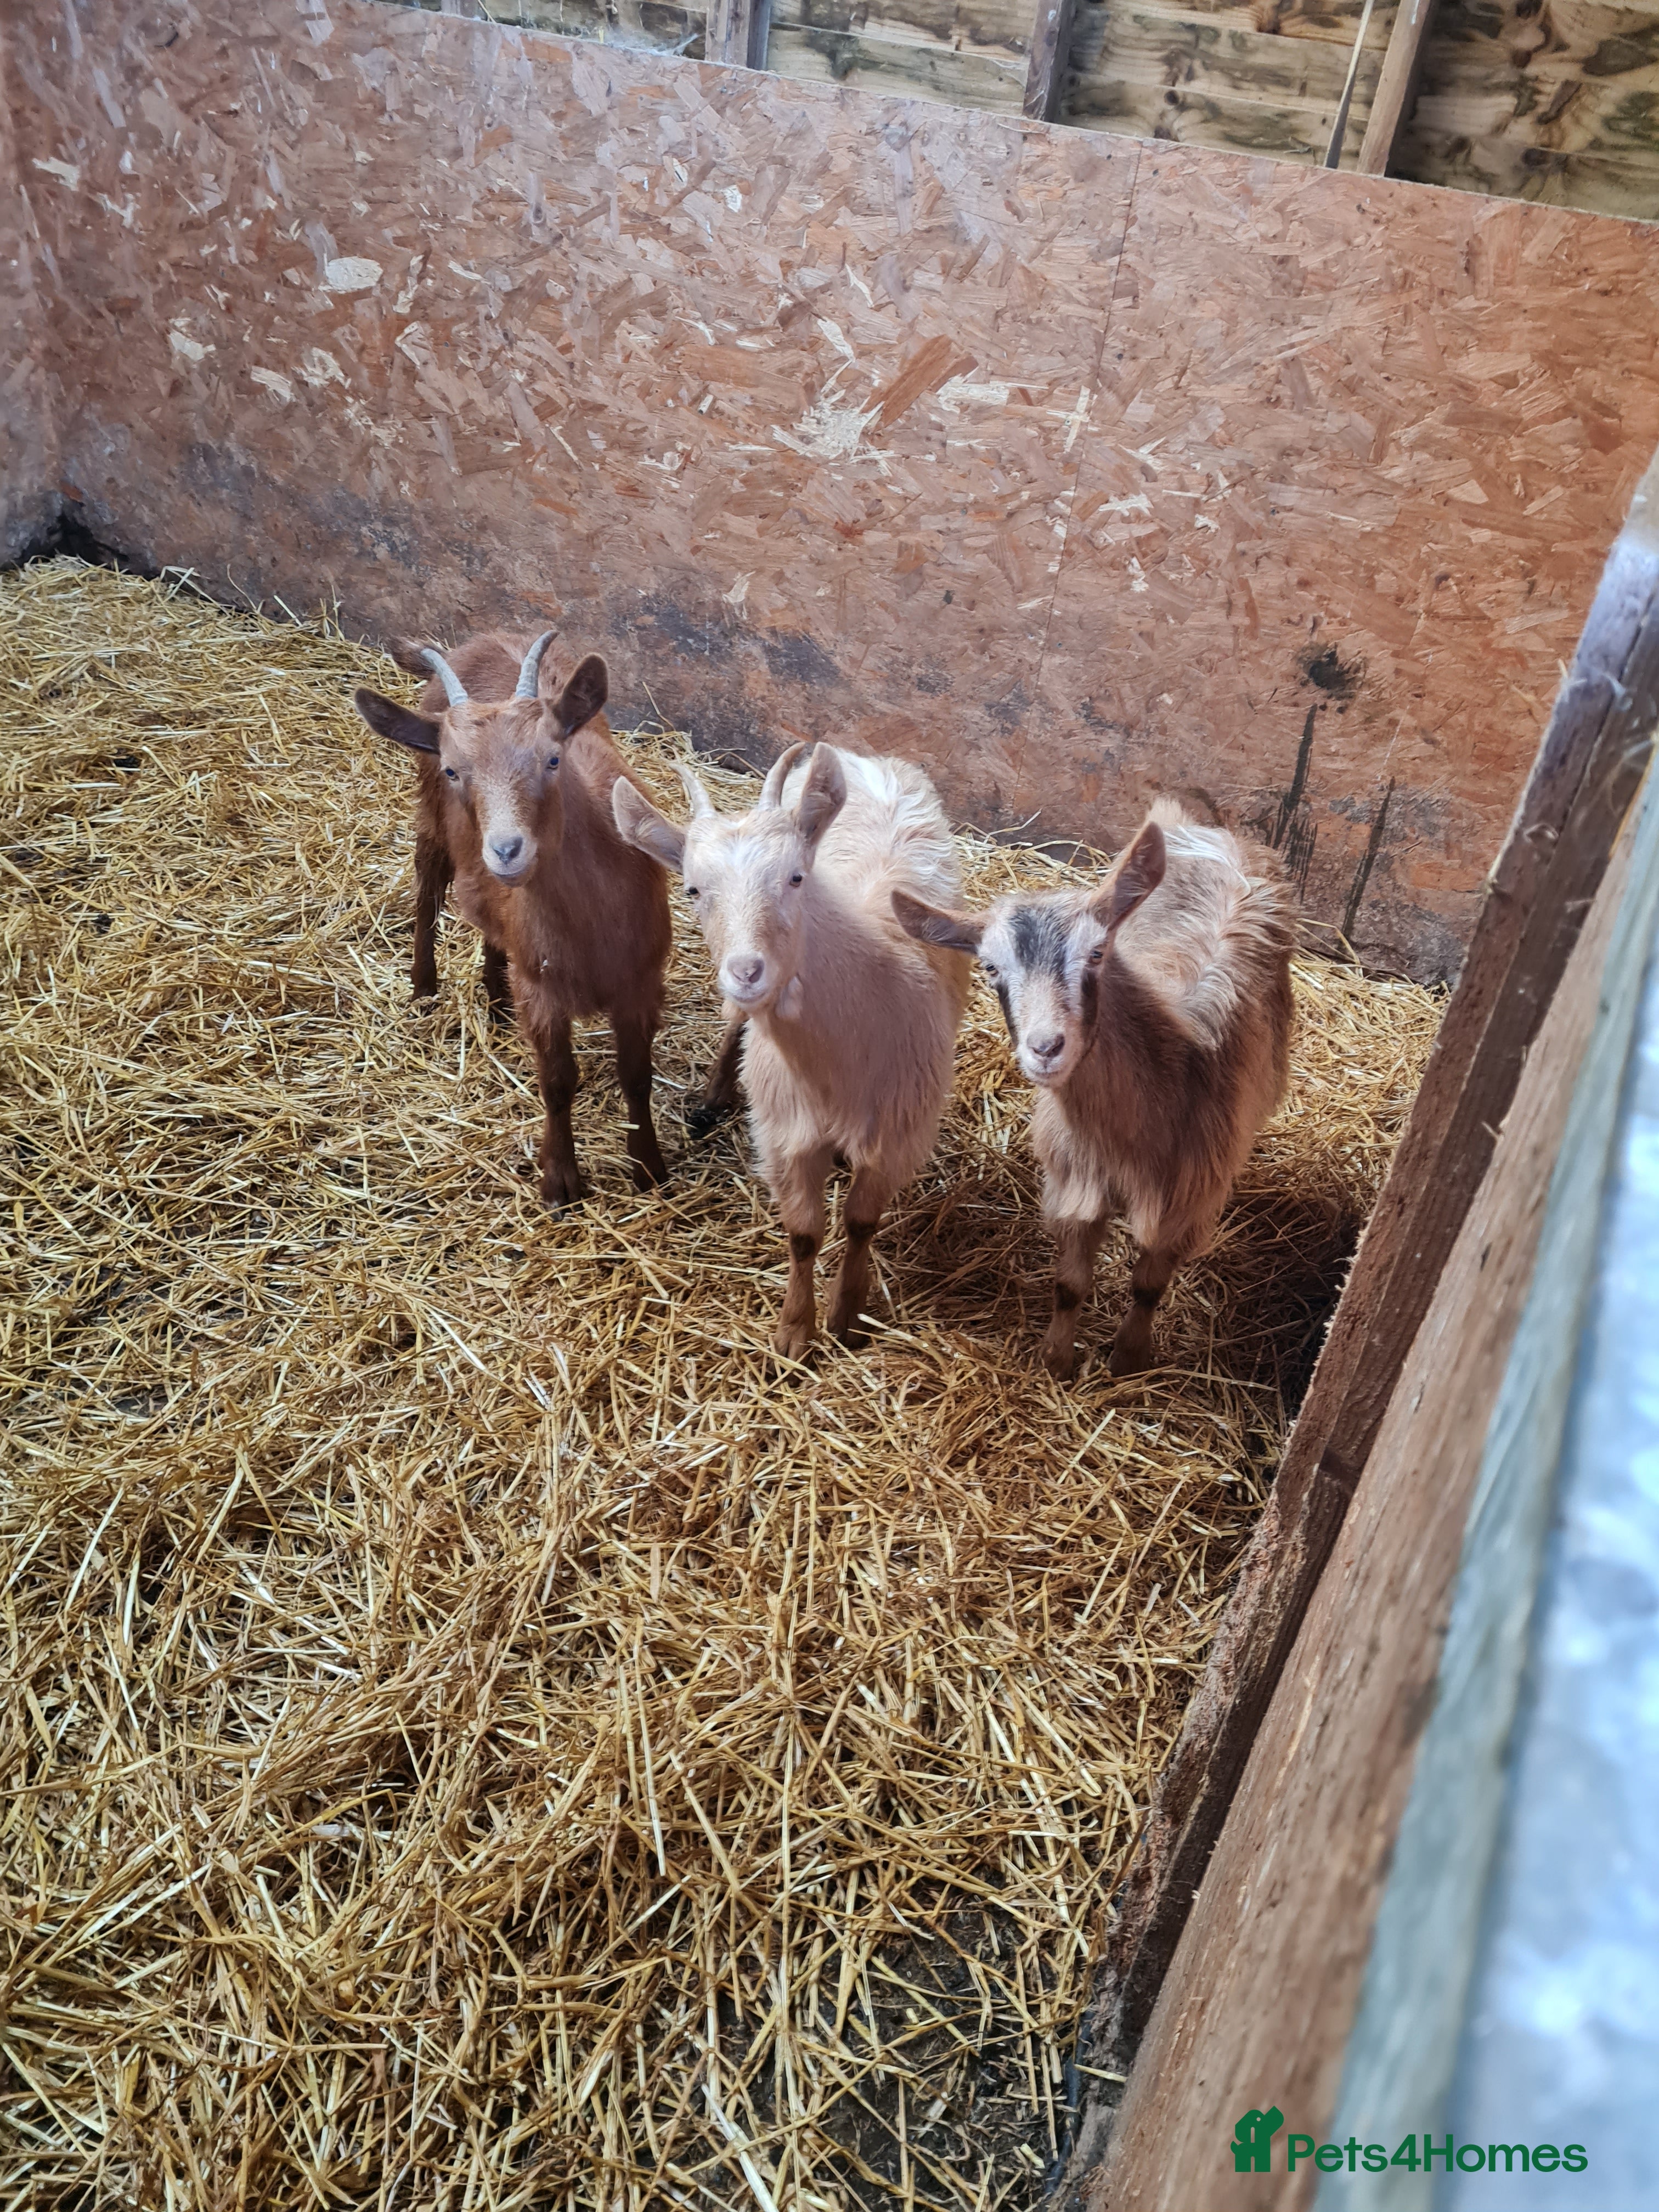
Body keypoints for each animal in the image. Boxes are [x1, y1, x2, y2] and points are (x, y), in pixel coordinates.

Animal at [353, 631, 672, 1207]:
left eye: (553, 758)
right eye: (455, 769)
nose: (505, 850)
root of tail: (477, 642)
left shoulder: (641, 980)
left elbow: (637, 1075)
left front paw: (649, 1169)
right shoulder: (542, 989)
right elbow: (558, 1081)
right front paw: (560, 1181)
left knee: (489, 926)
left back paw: (495, 995)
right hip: (430, 818)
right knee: (427, 894)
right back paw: (424, 986)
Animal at [613, 743, 971, 1356]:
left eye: (797, 877)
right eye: (693, 889)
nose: (746, 972)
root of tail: (862, 757)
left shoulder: (898, 1131)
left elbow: (860, 1223)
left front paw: (847, 1317)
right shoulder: (784, 1132)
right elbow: (804, 1234)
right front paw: (793, 1335)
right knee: (735, 1027)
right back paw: (713, 1098)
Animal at [894, 799, 1296, 1379]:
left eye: (1098, 954)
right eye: (990, 967)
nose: (1045, 1047)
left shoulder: (1185, 1198)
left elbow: (1149, 1286)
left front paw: (1129, 1360)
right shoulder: (1074, 1180)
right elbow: (1069, 1285)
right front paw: (1057, 1362)